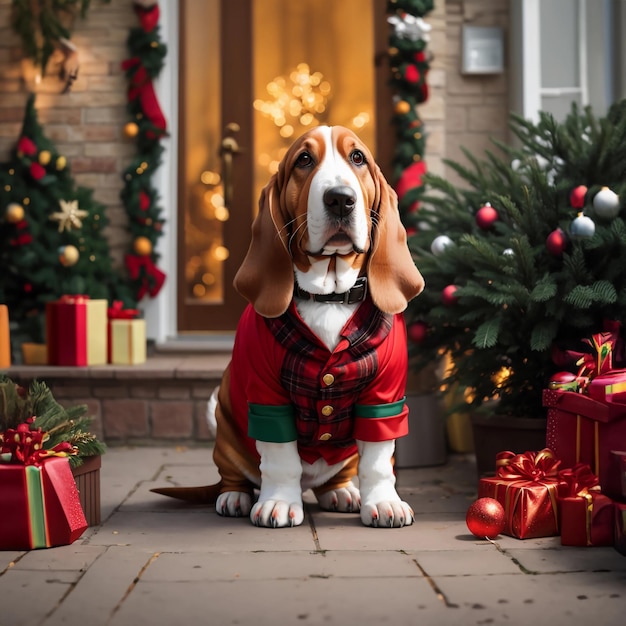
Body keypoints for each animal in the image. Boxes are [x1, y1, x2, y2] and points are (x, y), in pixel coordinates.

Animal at [153, 125, 422, 528]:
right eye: (304, 160)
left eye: (357, 158)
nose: (340, 200)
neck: (328, 297)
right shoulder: (267, 397)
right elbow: (281, 459)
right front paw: (278, 502)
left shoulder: (384, 398)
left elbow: (377, 460)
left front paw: (384, 502)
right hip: (225, 423)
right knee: (234, 474)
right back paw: (235, 496)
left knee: (338, 474)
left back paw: (342, 491)